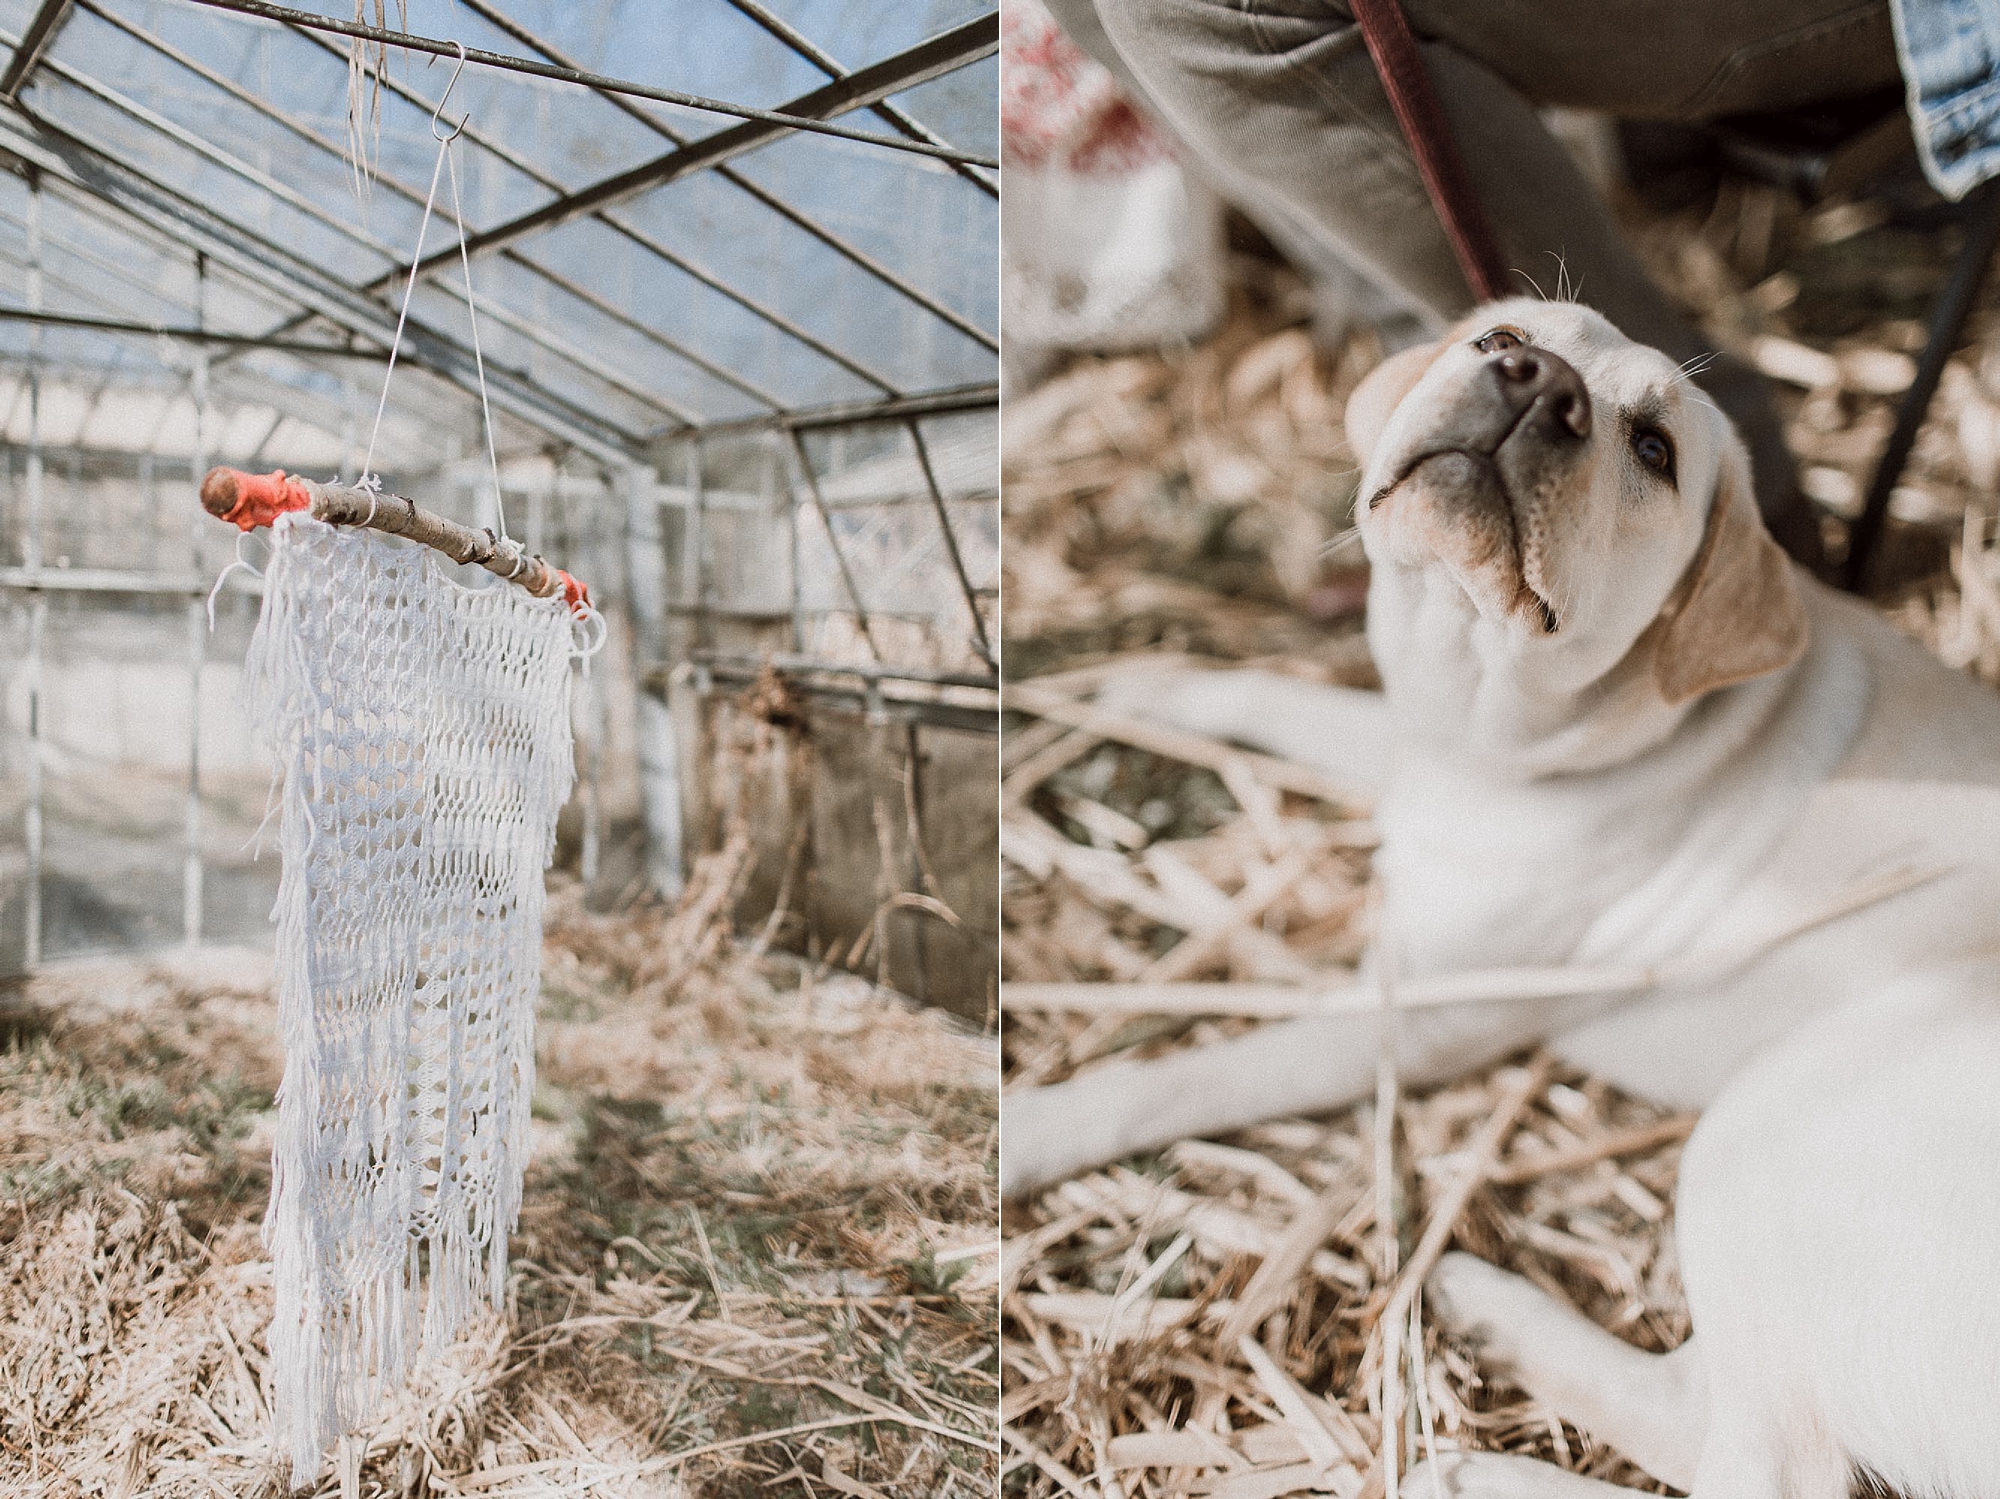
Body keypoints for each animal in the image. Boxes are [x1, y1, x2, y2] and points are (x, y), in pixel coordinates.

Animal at [1008, 299, 2000, 1495]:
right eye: (1501, 334)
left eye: (1655, 449)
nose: (1536, 382)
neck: (1487, 717)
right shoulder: (1415, 757)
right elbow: (1274, 694)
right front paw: (1140, 686)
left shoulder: (1417, 1015)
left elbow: (1186, 1074)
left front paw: (1031, 1128)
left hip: (1776, 1116)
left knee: (1761, 1466)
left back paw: (1470, 1452)